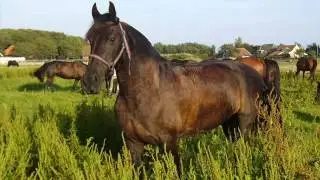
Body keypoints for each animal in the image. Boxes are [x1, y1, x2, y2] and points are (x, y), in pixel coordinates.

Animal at [81, 2, 272, 174]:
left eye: (112, 38)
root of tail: (254, 73)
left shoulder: (169, 143)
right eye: (90, 38)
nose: (90, 82)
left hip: (245, 124)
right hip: (229, 124)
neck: (147, 91)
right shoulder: (133, 143)